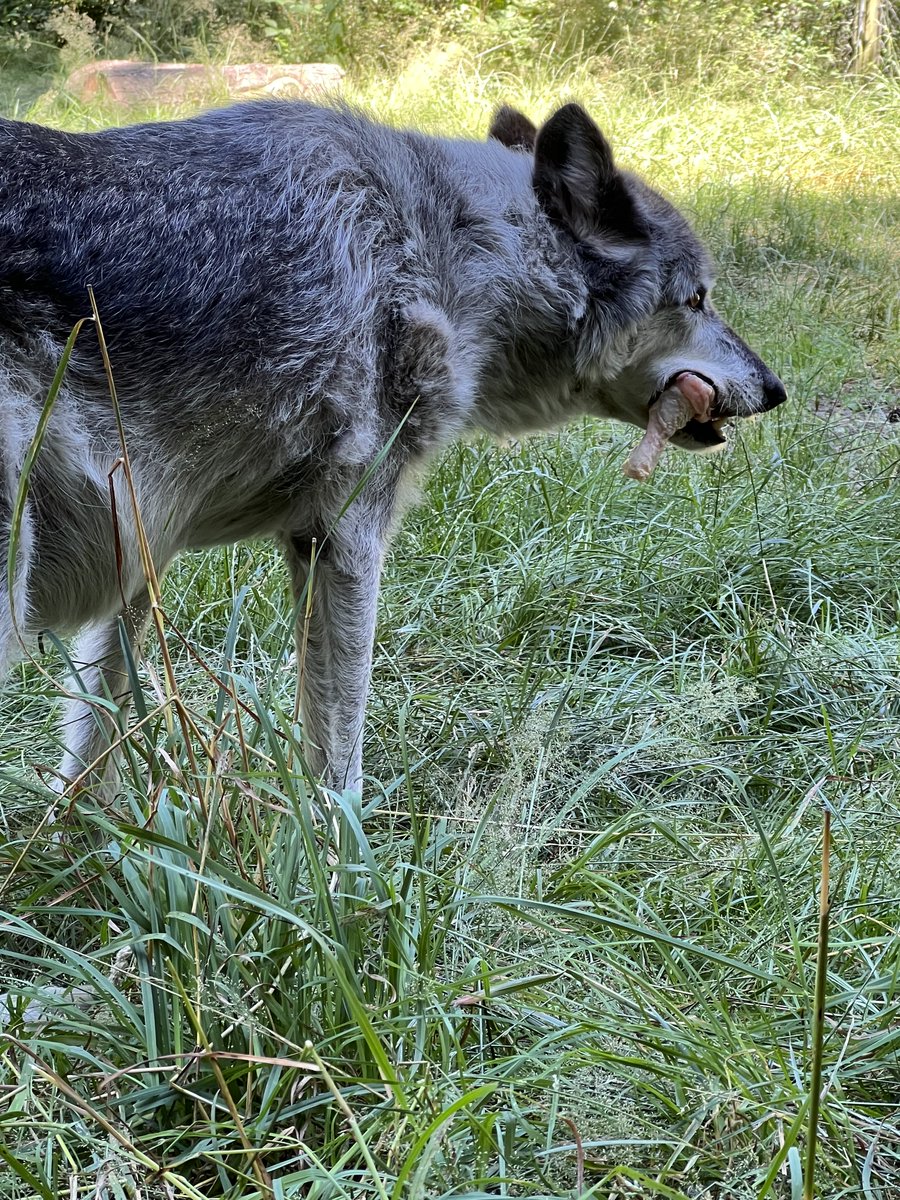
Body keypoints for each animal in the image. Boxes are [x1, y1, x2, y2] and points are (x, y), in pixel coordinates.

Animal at [0, 99, 786, 799]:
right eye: (698, 299)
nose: (776, 388)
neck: (447, 250)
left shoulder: (146, 556)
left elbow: (90, 759)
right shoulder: (346, 540)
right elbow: (339, 758)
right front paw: (345, 867)